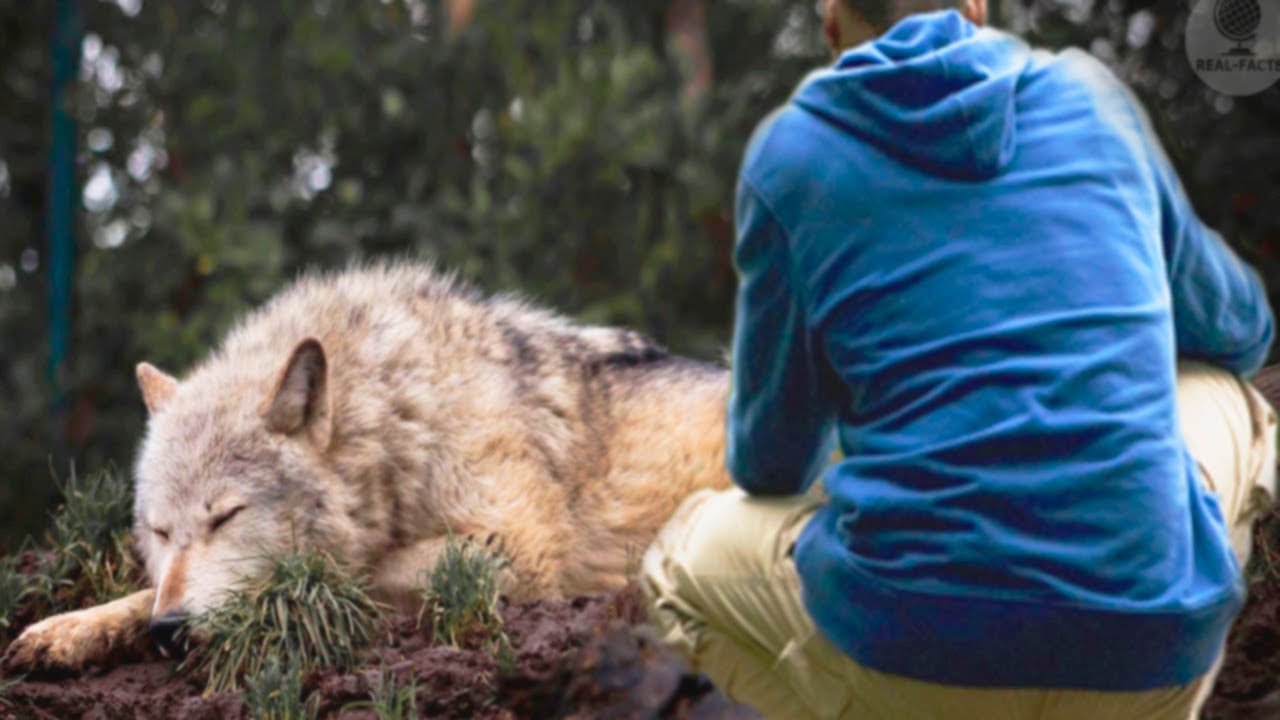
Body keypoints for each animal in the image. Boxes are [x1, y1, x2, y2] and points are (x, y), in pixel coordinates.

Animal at [2, 262, 731, 673]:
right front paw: (68, 630)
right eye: (158, 532)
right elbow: (140, 595)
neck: (400, 414)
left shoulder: (517, 551)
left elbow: (338, 576)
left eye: (226, 517)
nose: (169, 634)